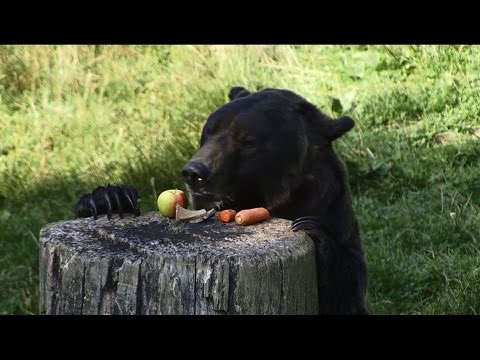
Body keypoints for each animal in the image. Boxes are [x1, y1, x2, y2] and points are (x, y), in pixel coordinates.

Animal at [75, 86, 370, 314]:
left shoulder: (332, 213)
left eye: (247, 140)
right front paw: (109, 198)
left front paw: (313, 231)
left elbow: (347, 289)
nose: (195, 172)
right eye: (209, 131)